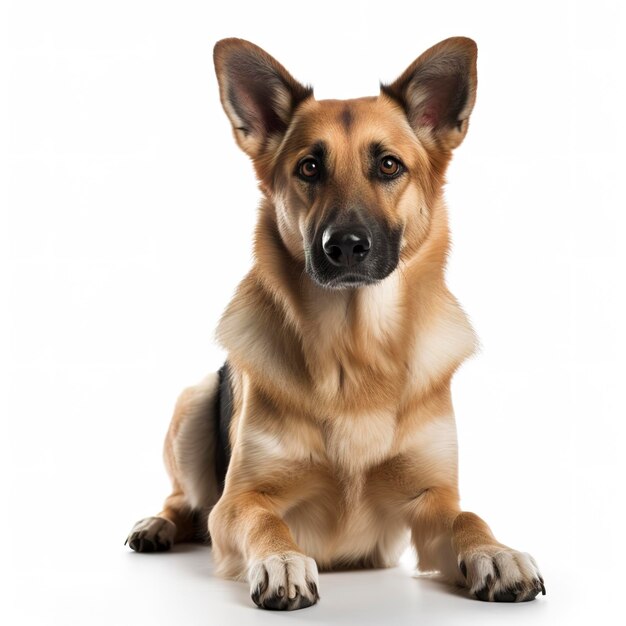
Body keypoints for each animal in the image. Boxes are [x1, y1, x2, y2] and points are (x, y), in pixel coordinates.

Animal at [128, 35, 544, 608]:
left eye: (389, 165)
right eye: (309, 168)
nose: (344, 246)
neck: (355, 350)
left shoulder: (432, 498)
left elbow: (468, 516)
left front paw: (497, 552)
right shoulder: (239, 501)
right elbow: (262, 520)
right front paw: (281, 560)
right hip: (194, 401)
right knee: (184, 501)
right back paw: (158, 524)